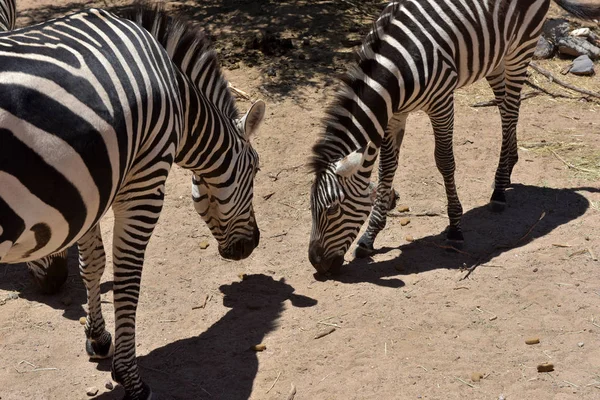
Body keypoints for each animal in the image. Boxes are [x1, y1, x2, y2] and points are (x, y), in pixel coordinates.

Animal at [0, 3, 264, 400]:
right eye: (257, 169)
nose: (253, 245)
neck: (182, 102)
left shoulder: (92, 186)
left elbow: (92, 263)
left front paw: (98, 339)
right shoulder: (144, 181)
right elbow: (127, 280)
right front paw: (131, 380)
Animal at [310, 0, 600, 276]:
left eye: (332, 209)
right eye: (312, 208)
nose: (315, 263)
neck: (394, 75)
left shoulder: (441, 103)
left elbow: (444, 161)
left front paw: (455, 228)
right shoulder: (394, 116)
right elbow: (386, 170)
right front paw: (370, 236)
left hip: (520, 49)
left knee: (510, 111)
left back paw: (498, 191)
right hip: (494, 56)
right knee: (507, 106)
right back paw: (507, 170)